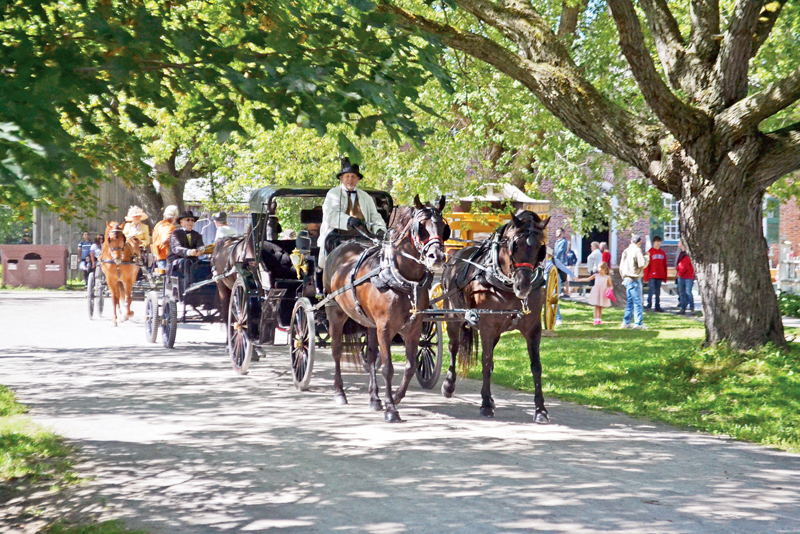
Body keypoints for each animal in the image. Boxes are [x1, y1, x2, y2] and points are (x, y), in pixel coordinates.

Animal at [324, 195, 450, 426]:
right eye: (421, 227)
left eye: (443, 227)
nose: (436, 256)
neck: (401, 279)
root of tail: (342, 247)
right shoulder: (385, 327)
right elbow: (388, 368)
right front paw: (391, 409)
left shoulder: (414, 328)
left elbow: (410, 367)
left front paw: (396, 397)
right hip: (335, 313)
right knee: (336, 351)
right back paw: (339, 393)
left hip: (369, 324)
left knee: (371, 355)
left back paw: (374, 398)